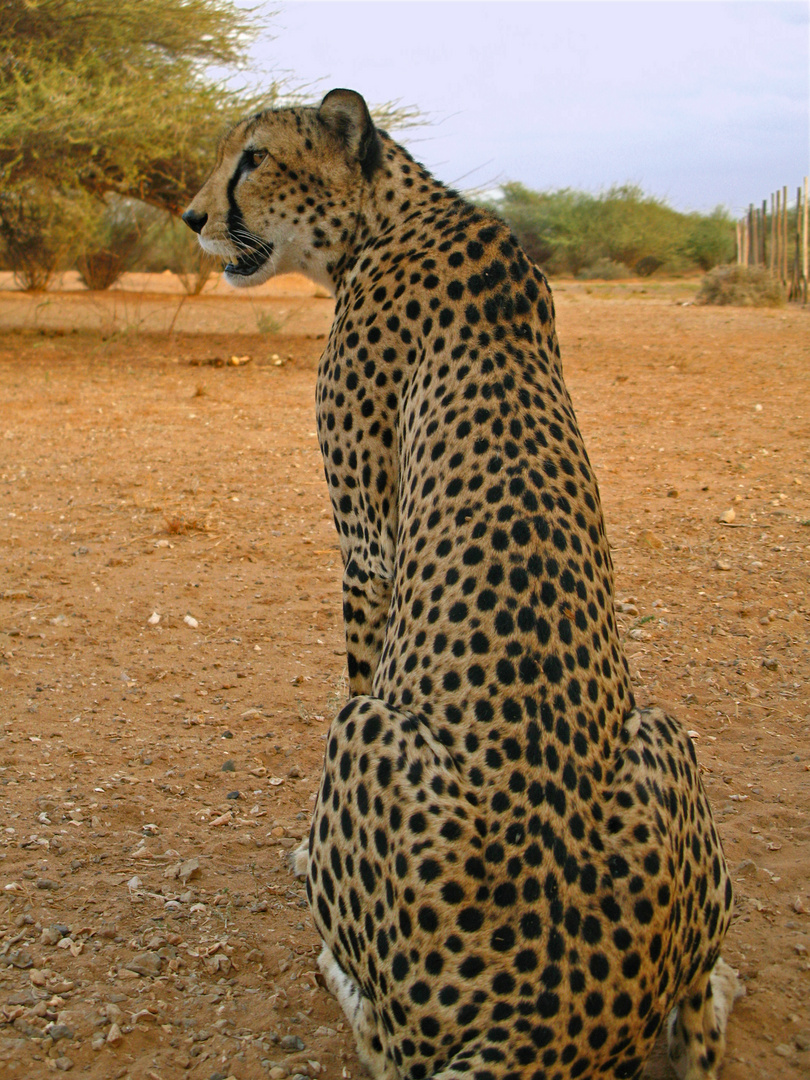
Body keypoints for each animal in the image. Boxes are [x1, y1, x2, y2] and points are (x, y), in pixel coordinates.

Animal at [185, 90, 743, 1080]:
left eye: (252, 159)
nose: (191, 217)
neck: (394, 214)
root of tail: (543, 1023)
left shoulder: (368, 548)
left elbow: (359, 659)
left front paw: (305, 852)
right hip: (665, 733)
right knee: (699, 1038)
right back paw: (720, 989)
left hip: (362, 735)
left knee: (390, 1046)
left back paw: (334, 964)